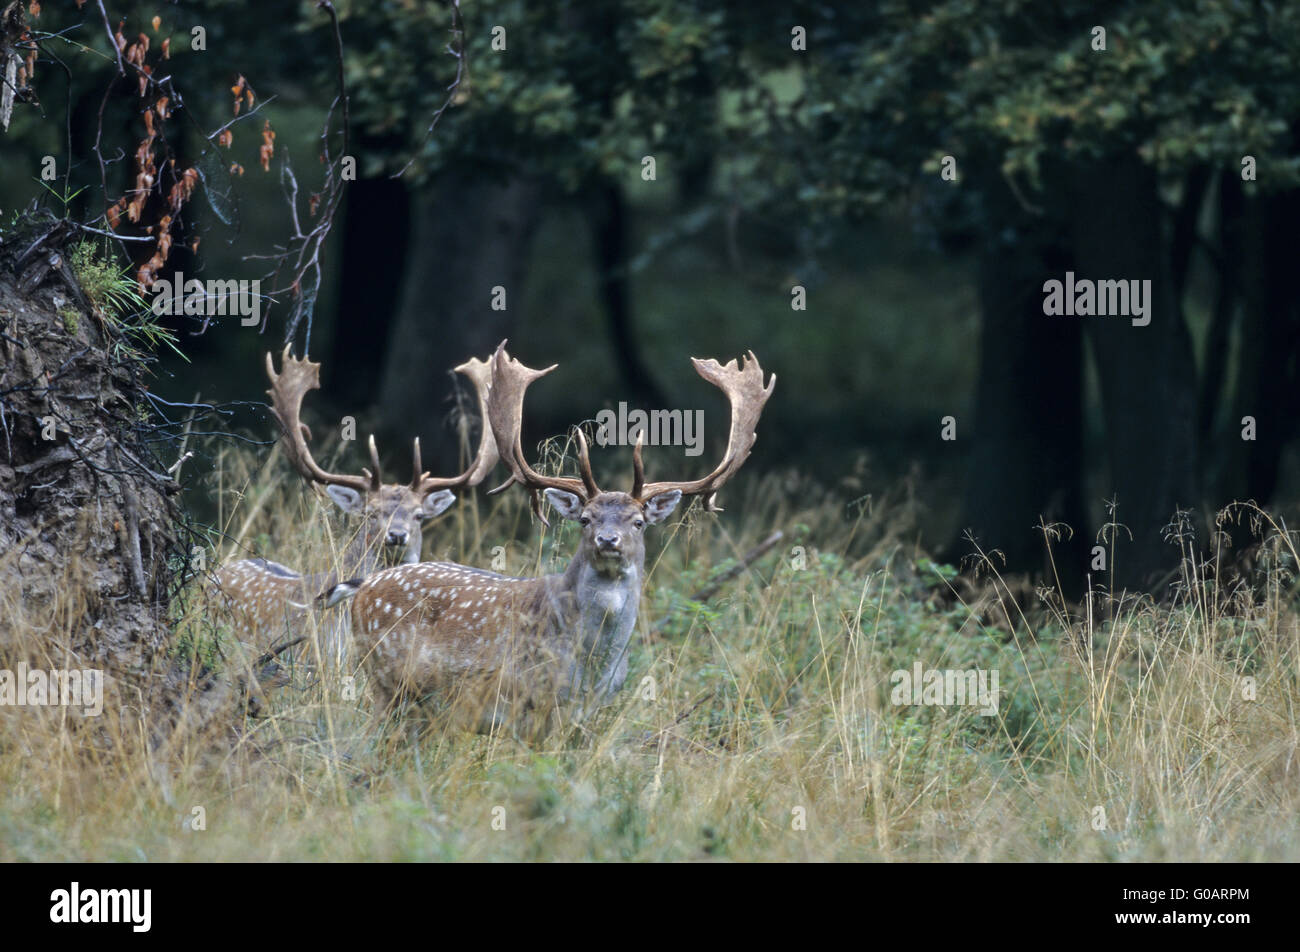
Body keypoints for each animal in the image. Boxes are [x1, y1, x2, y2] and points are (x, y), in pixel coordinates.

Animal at [325, 343, 769, 738]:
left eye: (639, 522)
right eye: (585, 519)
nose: (608, 540)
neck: (592, 665)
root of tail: (364, 585)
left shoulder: (590, 713)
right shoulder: (527, 702)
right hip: (386, 677)